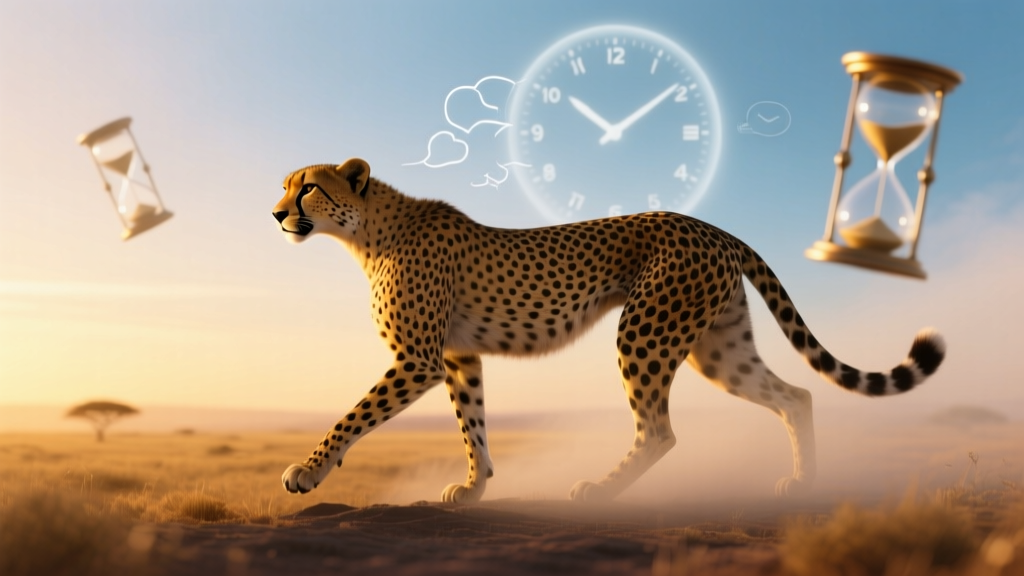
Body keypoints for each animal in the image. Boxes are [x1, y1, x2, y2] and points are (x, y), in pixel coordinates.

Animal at [272, 158, 945, 503]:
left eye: (309, 188)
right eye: (284, 186)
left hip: (645, 330)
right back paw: (804, 482)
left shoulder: (418, 359)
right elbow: (473, 424)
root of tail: (715, 227)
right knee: (795, 394)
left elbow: (353, 415)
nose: (276, 214)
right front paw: (476, 487)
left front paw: (306, 470)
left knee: (661, 431)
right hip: (718, 348)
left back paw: (600, 489)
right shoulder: (460, 356)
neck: (367, 230)